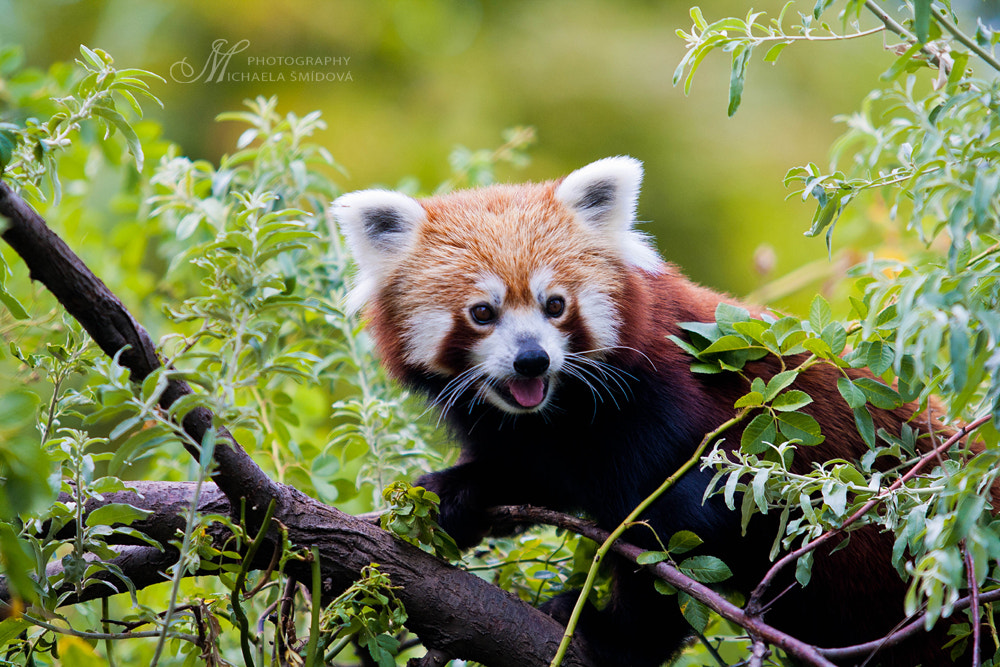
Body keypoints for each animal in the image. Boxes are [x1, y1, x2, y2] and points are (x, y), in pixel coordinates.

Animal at [336, 158, 968, 667]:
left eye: (555, 304)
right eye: (482, 313)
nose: (532, 360)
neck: (561, 411)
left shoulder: (671, 409)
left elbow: (676, 533)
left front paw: (610, 634)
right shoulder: (536, 438)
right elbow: (531, 475)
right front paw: (451, 494)